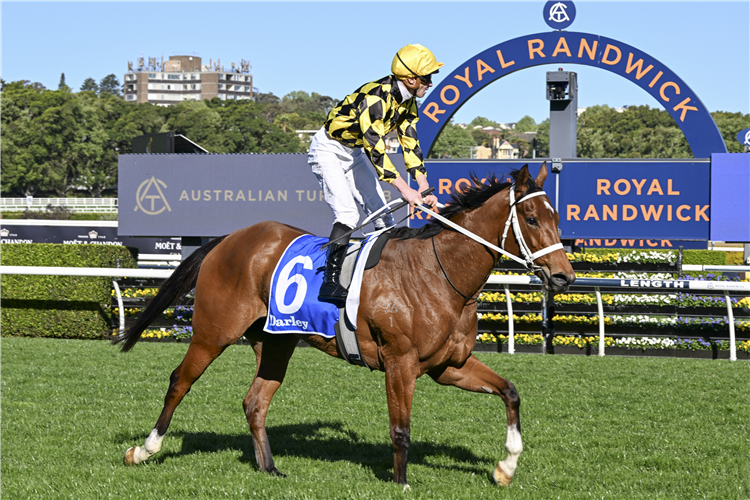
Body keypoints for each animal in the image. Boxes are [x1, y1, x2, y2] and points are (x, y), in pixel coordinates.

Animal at [114, 164, 576, 488]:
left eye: (555, 217)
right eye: (531, 218)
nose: (564, 277)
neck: (439, 273)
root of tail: (226, 239)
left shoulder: (450, 366)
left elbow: (510, 392)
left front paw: (506, 467)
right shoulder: (400, 361)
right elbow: (401, 428)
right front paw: (401, 483)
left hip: (276, 342)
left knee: (255, 401)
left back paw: (270, 469)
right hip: (213, 333)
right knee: (179, 381)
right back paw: (144, 450)